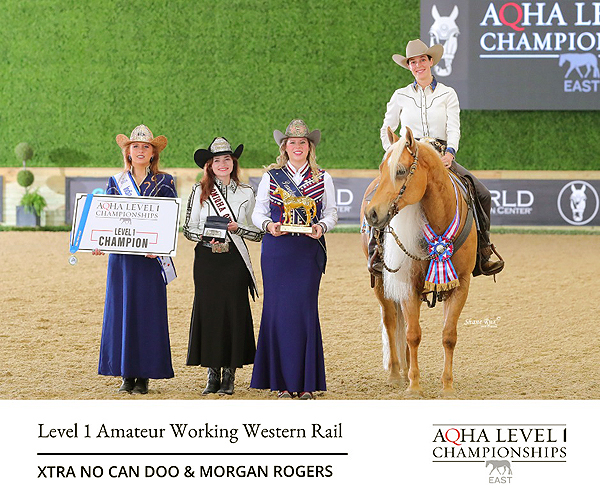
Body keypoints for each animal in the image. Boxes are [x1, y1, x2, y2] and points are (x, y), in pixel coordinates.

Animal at [361, 127, 476, 396]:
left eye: (401, 171)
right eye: (382, 168)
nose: (372, 214)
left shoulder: (461, 284)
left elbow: (448, 335)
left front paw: (447, 387)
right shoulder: (408, 285)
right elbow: (413, 334)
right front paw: (414, 386)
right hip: (380, 283)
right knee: (391, 322)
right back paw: (396, 374)